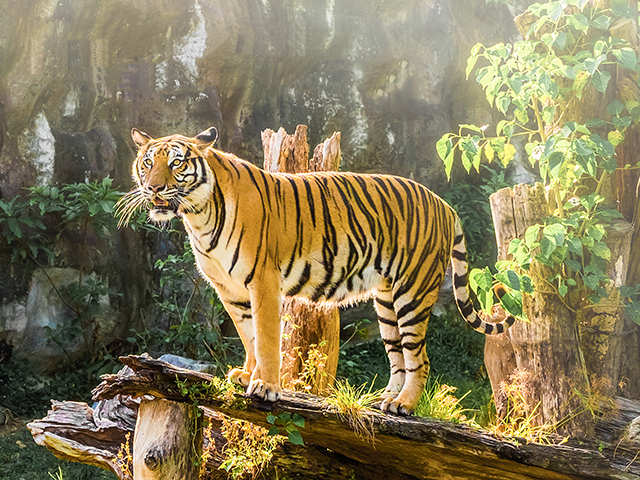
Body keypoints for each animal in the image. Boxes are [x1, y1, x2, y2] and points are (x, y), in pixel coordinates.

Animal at [117, 125, 516, 414]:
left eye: (177, 164)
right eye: (147, 163)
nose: (154, 188)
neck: (198, 215)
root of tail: (443, 202)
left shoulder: (262, 281)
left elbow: (267, 338)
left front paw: (266, 386)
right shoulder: (229, 289)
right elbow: (248, 336)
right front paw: (245, 374)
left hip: (412, 292)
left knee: (420, 357)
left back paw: (404, 404)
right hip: (386, 300)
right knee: (398, 355)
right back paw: (385, 399)